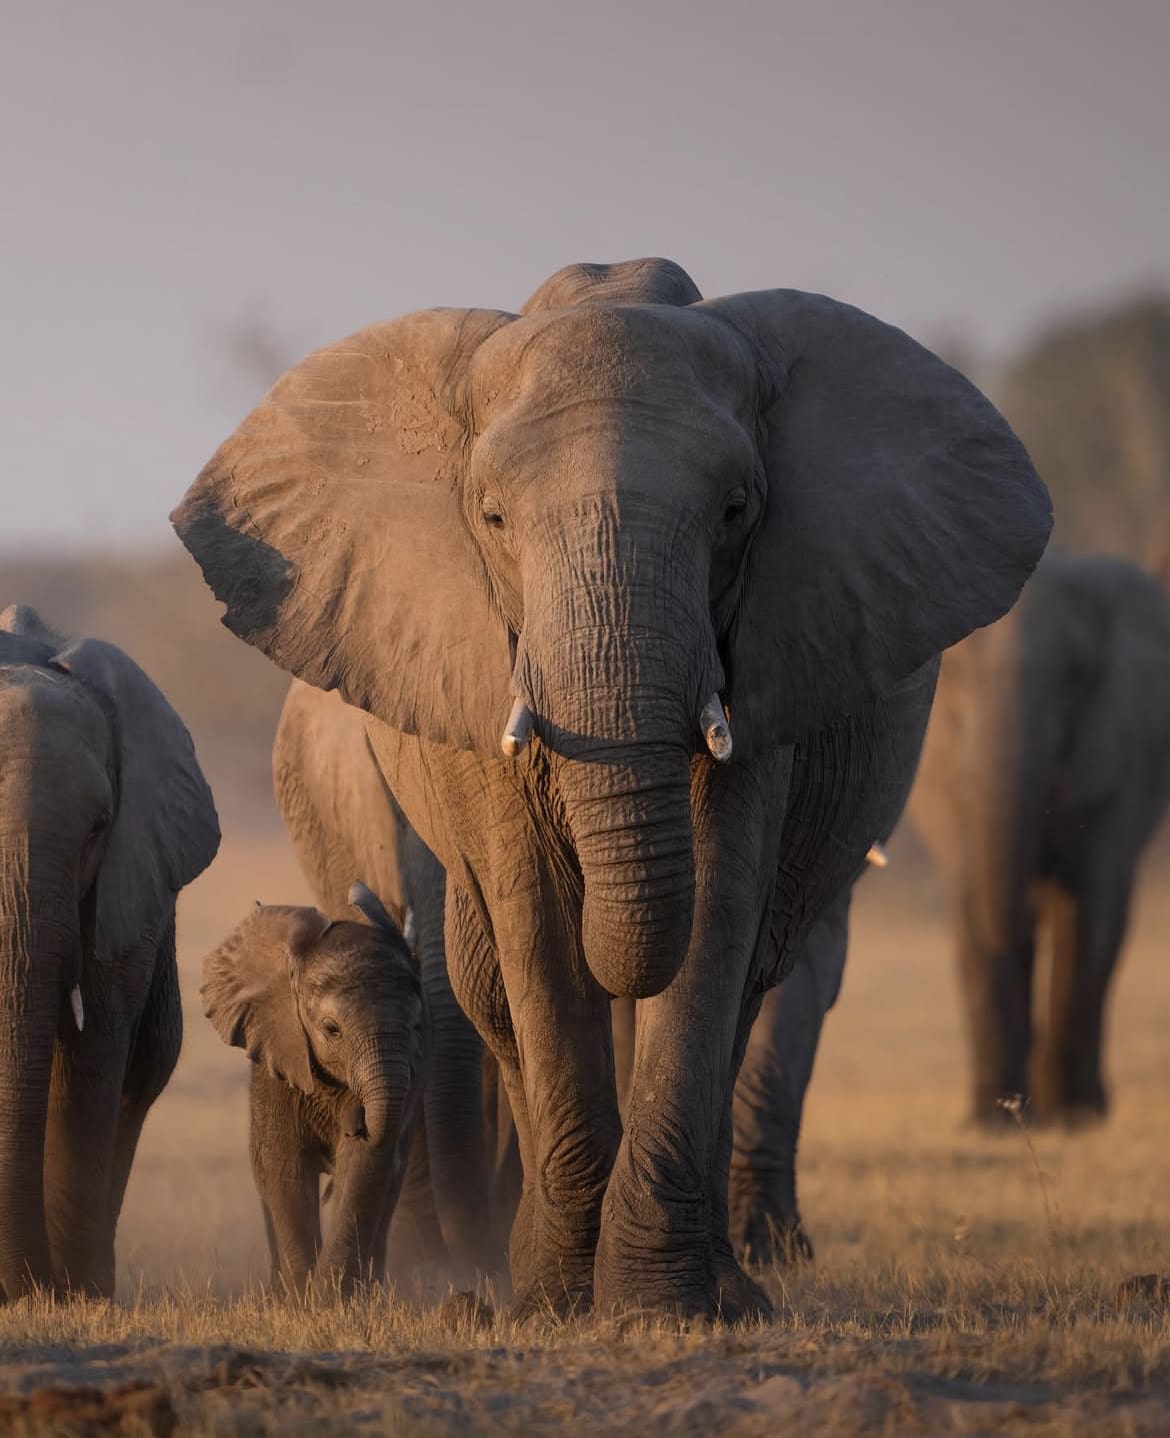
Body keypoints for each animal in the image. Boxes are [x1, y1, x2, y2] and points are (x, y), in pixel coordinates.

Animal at [0, 601, 219, 1299]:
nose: (26, 1287)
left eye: (97, 827)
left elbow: (93, 1046)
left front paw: (75, 1294)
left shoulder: (130, 871)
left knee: (139, 1071)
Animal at [204, 880, 428, 1299]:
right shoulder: (277, 1061)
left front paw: (331, 1298)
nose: (357, 1119)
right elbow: (284, 1169)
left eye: (415, 1028)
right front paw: (302, 1299)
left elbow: (364, 1167)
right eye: (331, 1029)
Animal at [914, 549, 1170, 1121]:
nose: (1020, 1103)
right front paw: (992, 1121)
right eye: (956, 673)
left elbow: (1092, 910)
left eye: (1075, 674)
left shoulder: (1122, 744)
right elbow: (973, 905)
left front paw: (1076, 1117)